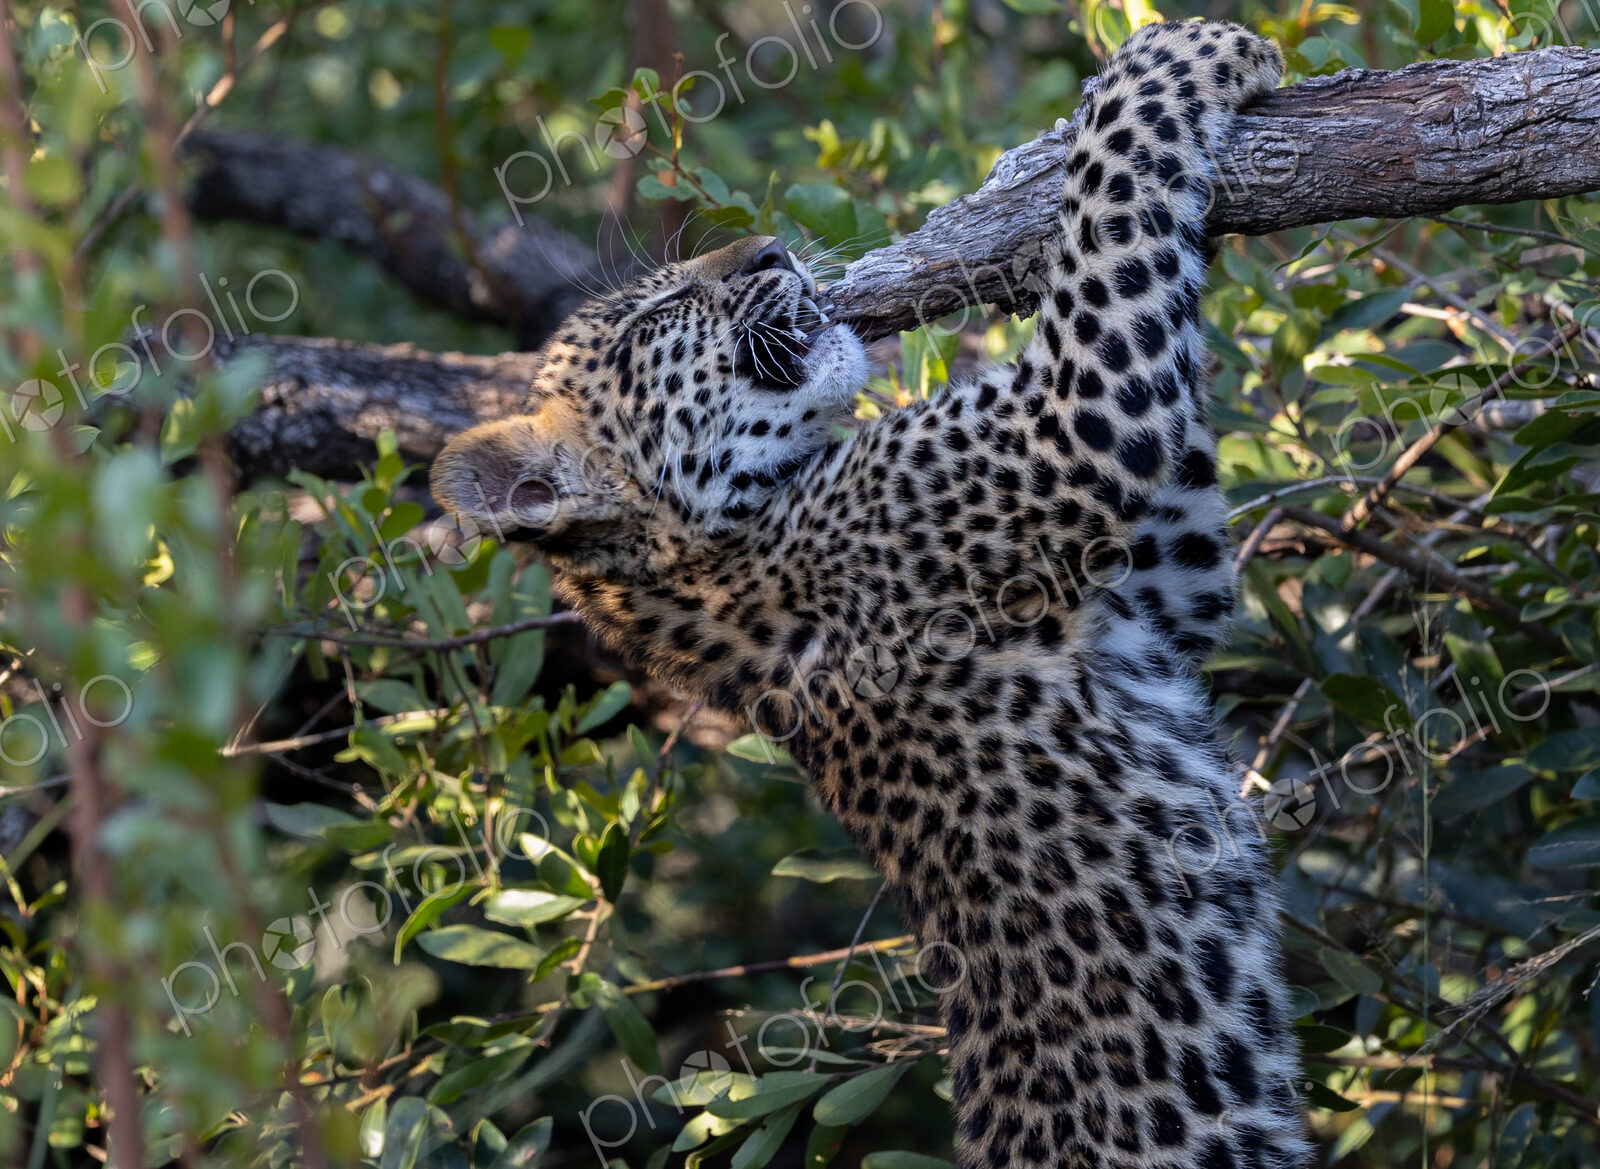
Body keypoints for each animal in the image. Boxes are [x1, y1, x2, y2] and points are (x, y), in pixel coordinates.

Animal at [433, 19, 1309, 1168]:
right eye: (659, 313)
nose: (769, 250)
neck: (723, 548)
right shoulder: (1064, 428)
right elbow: (1108, 215)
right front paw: (1182, 53)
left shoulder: (1168, 581)